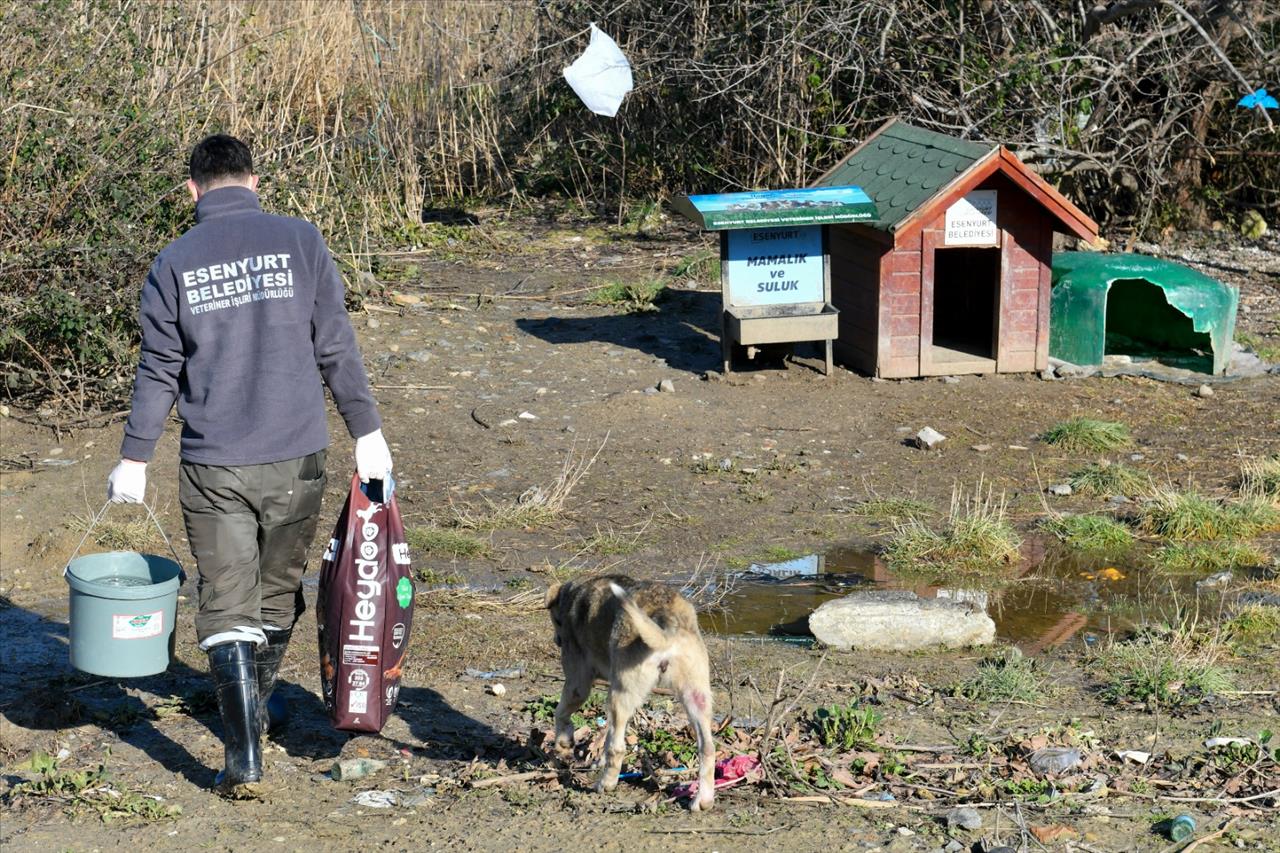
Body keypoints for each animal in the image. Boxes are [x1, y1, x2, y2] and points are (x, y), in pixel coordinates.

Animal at [542, 573, 716, 809]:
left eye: (554, 620)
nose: (556, 640)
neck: (574, 596)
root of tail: (666, 623)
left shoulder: (578, 682)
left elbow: (560, 712)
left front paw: (563, 742)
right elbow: (607, 734)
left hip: (620, 694)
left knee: (618, 748)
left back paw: (605, 783)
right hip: (696, 696)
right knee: (707, 748)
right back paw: (703, 799)